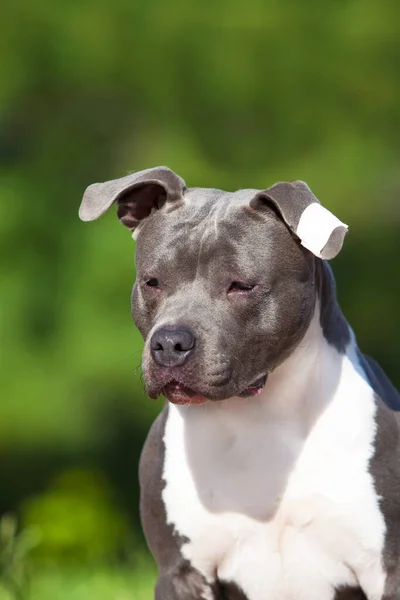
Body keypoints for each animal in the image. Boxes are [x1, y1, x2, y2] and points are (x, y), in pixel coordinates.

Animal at [80, 166, 400, 600]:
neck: (261, 416)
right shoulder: (181, 572)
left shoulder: (386, 568)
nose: (169, 343)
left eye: (241, 285)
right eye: (152, 282)